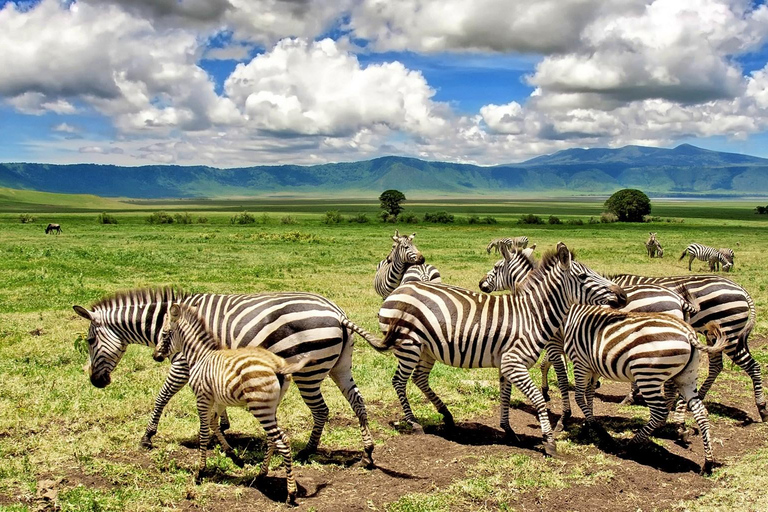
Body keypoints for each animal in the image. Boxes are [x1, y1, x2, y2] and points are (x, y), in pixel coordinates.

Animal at [72, 286, 396, 466]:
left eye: (89, 341)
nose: (96, 382)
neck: (173, 323)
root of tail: (338, 313)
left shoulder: (182, 363)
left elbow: (162, 397)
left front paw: (147, 436)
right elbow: (215, 401)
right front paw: (224, 426)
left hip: (308, 371)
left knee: (321, 410)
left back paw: (308, 451)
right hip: (341, 366)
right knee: (357, 402)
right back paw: (367, 453)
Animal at [153, 302, 308, 502]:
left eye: (165, 333)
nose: (155, 355)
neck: (200, 356)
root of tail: (277, 366)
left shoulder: (202, 398)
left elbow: (204, 432)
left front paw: (200, 472)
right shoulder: (218, 400)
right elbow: (214, 423)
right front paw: (234, 457)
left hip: (260, 408)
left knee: (282, 441)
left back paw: (290, 493)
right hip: (270, 407)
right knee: (275, 438)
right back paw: (261, 474)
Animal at [376, 244, 624, 456]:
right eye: (583, 277)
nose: (622, 295)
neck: (532, 315)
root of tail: (399, 289)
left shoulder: (506, 364)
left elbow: (505, 395)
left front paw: (508, 430)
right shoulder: (514, 362)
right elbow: (538, 398)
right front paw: (549, 441)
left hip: (427, 349)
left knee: (419, 378)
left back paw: (446, 415)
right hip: (408, 346)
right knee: (399, 381)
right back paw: (414, 422)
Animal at [560, 304, 724, 476]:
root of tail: (688, 332)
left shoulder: (580, 363)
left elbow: (580, 397)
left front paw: (596, 429)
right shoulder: (593, 366)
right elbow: (589, 395)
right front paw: (588, 425)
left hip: (648, 375)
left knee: (659, 412)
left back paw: (631, 445)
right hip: (687, 377)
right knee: (701, 412)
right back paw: (708, 463)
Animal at [608, 274, 764, 422]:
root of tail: (740, 288)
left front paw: (631, 395)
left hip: (729, 332)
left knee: (752, 365)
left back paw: (761, 407)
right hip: (714, 335)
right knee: (716, 366)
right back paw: (698, 397)